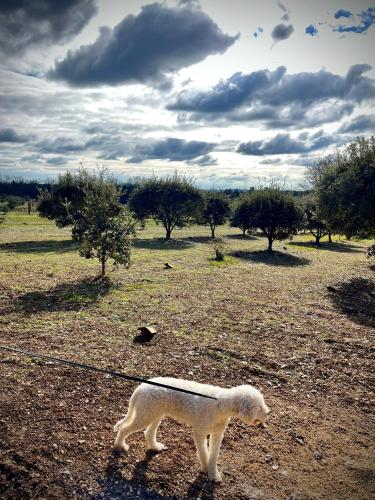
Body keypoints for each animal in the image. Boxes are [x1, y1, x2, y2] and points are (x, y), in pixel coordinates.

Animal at [112, 378, 270, 480]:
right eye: (259, 407)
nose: (269, 412)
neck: (220, 404)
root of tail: (141, 387)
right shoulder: (200, 432)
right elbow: (203, 452)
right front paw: (205, 469)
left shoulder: (217, 434)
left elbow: (214, 456)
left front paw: (214, 475)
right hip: (145, 415)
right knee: (124, 429)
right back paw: (120, 445)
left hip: (155, 414)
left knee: (148, 433)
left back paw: (154, 447)